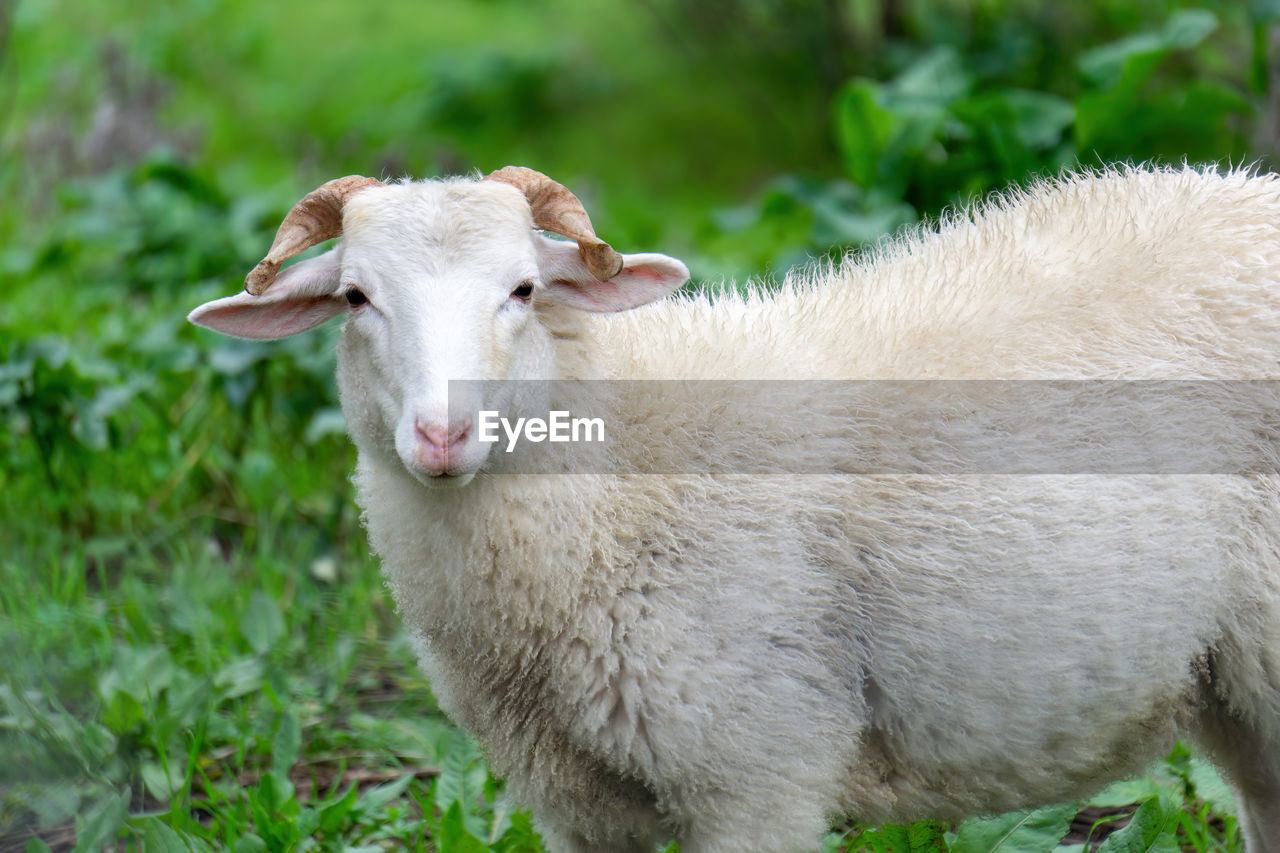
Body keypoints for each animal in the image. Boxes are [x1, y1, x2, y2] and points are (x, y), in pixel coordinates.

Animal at [186, 162, 1280, 845]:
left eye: (524, 289)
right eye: (356, 298)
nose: (442, 436)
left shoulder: (757, 773)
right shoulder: (575, 802)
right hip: (1227, 681)